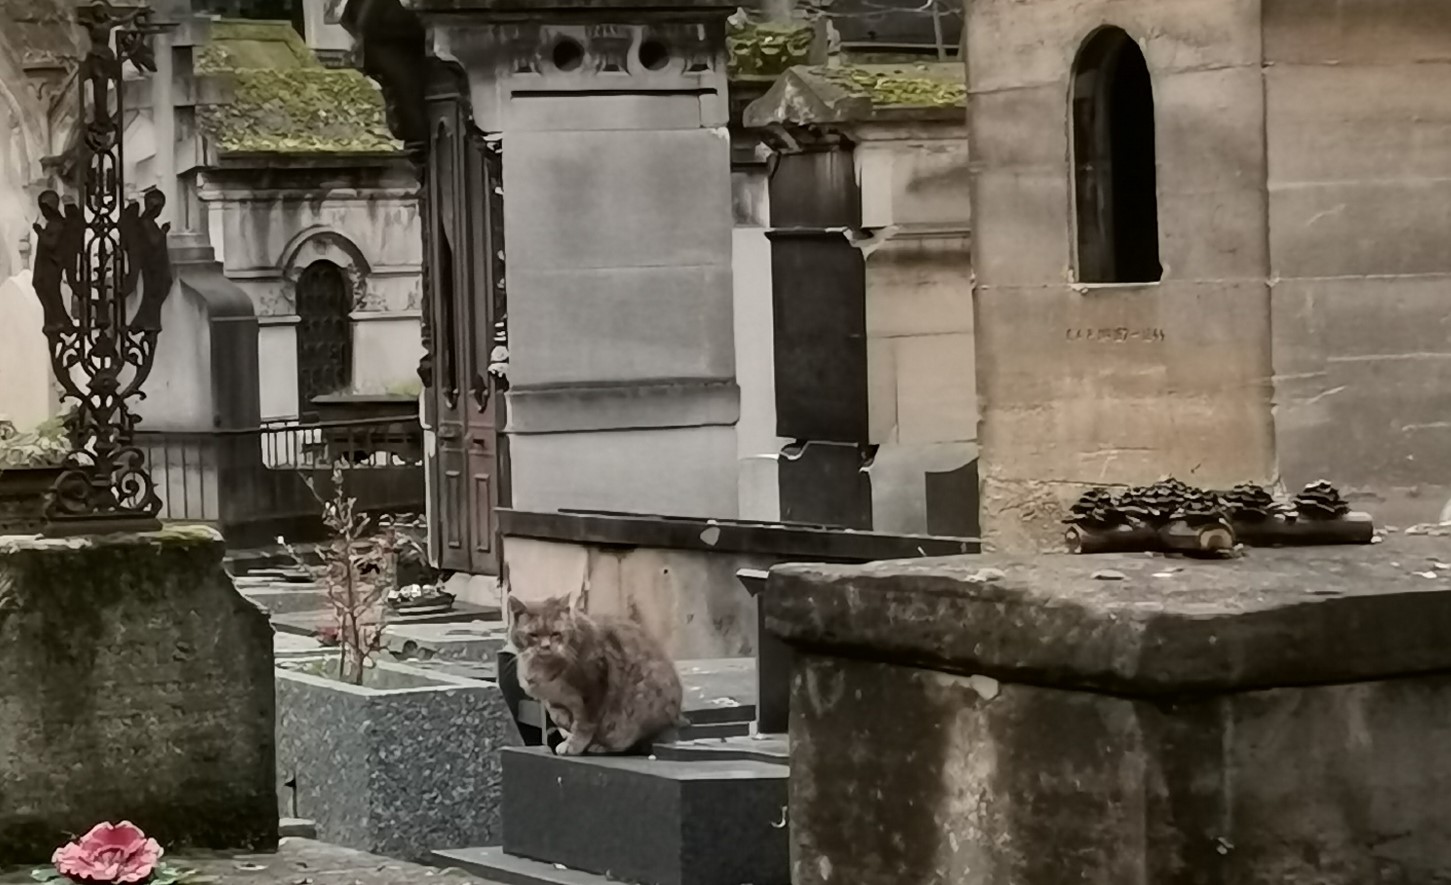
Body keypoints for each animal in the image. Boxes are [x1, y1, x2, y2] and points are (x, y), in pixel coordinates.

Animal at [507, 591, 687, 748]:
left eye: (555, 633)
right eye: (533, 635)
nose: (546, 646)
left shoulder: (594, 687)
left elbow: (584, 724)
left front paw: (573, 744)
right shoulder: (551, 697)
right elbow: (556, 714)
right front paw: (565, 725)